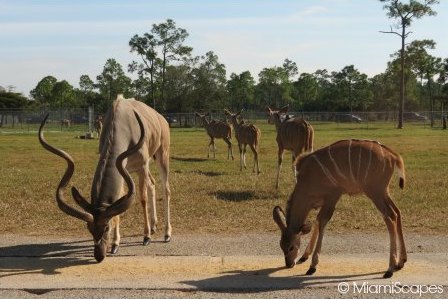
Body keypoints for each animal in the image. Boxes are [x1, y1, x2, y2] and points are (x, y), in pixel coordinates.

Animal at [39, 95, 172, 262]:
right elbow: (120, 202)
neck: (124, 124)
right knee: (152, 184)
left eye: (106, 227)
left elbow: (142, 198)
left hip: (161, 155)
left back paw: (166, 234)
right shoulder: (125, 169)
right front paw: (115, 244)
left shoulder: (141, 166)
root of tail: (162, 119)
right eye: (89, 228)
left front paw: (146, 237)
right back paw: (154, 226)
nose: (99, 255)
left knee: (165, 189)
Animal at [272, 139, 408, 280]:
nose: (289, 264)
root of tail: (393, 156)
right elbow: (317, 221)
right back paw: (401, 262)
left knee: (390, 217)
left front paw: (312, 266)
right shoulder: (323, 201)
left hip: (375, 192)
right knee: (397, 212)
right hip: (383, 192)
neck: (307, 178)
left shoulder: (333, 195)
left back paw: (390, 269)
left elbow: (322, 222)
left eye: (291, 247)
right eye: (281, 245)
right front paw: (304, 256)